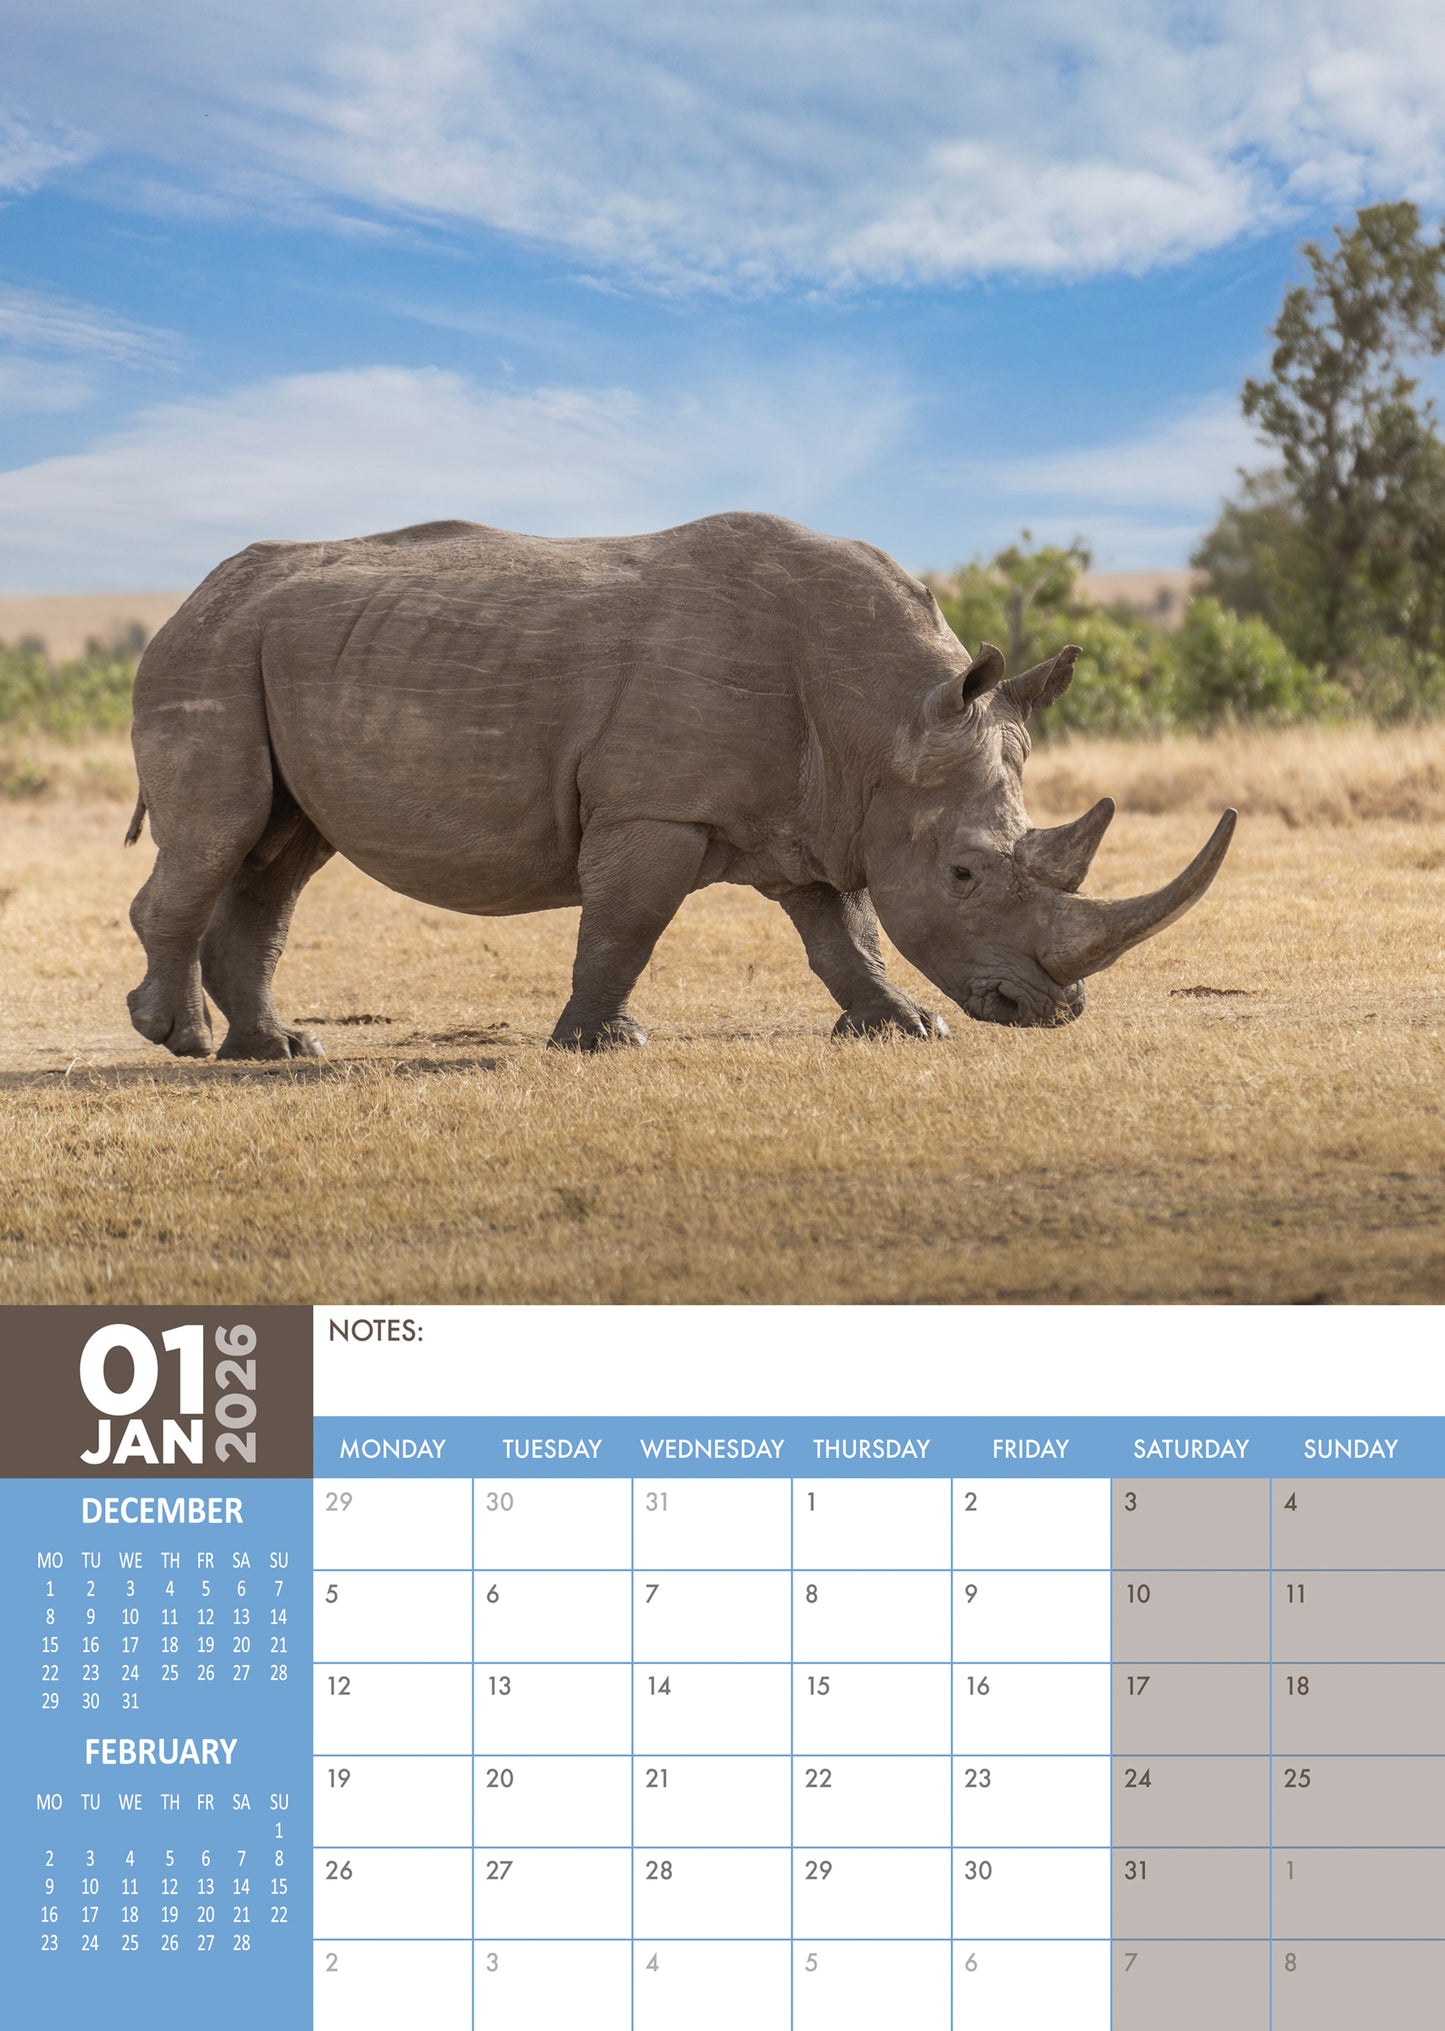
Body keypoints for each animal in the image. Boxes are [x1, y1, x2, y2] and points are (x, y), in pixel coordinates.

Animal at [124, 512, 1236, 1059]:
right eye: (964, 874)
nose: (1048, 1011)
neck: (884, 718)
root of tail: (186, 601)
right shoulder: (653, 808)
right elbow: (626, 923)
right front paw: (603, 1044)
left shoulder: (819, 813)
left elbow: (845, 932)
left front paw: (901, 1028)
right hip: (209, 653)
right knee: (223, 832)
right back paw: (180, 1039)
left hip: (265, 649)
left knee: (279, 858)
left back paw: (278, 1051)